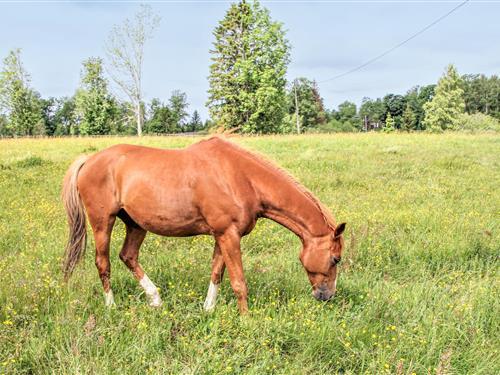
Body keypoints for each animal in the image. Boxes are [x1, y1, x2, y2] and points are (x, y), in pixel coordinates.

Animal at [61, 138, 344, 314]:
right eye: (336, 259)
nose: (327, 296)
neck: (242, 178)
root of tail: (89, 160)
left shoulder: (223, 235)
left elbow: (217, 273)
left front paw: (209, 309)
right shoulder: (228, 235)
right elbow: (238, 281)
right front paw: (246, 319)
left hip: (136, 224)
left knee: (128, 256)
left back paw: (156, 299)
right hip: (102, 222)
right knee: (103, 263)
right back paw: (111, 306)